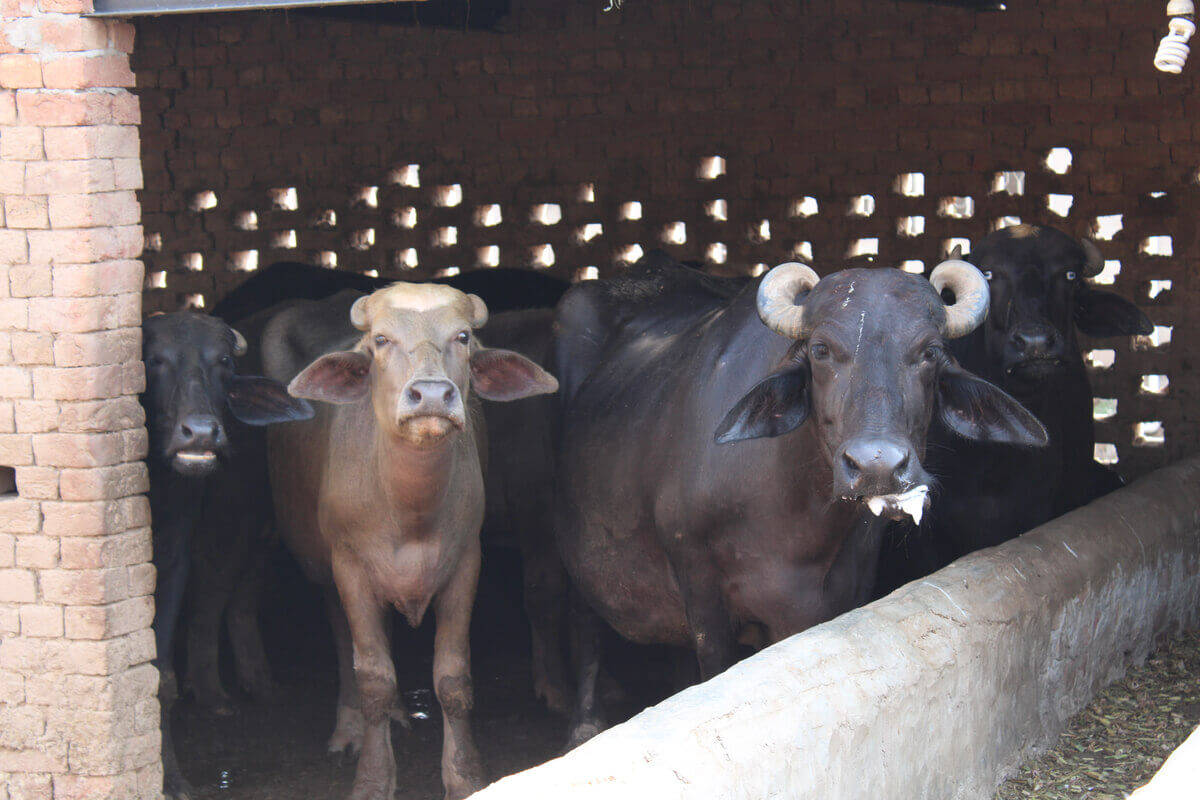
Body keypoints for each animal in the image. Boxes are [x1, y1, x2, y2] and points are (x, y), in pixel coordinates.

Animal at [552, 252, 1047, 744]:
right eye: (822, 350)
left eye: (929, 352)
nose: (877, 466)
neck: (792, 521)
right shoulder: (701, 591)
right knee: (581, 616)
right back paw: (585, 723)